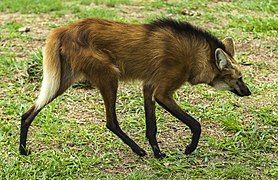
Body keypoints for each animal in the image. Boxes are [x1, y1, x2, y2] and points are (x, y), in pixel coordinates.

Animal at [20, 18, 252, 158]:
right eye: (239, 78)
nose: (248, 91)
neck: (195, 56)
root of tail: (62, 29)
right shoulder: (162, 93)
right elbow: (196, 124)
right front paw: (188, 149)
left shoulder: (149, 87)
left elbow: (151, 127)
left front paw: (158, 154)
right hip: (109, 76)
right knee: (111, 122)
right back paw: (138, 150)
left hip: (63, 82)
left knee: (28, 113)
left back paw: (22, 150)